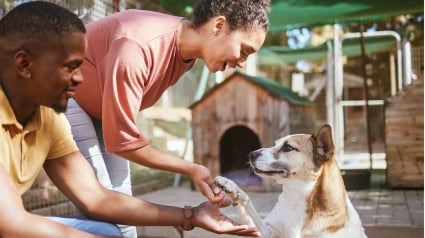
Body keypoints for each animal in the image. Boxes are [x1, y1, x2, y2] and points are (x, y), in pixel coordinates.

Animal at [214, 124, 366, 238]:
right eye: (275, 144)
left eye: (288, 147)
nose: (251, 154)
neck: (297, 197)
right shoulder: (266, 232)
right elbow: (246, 202)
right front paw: (231, 188)